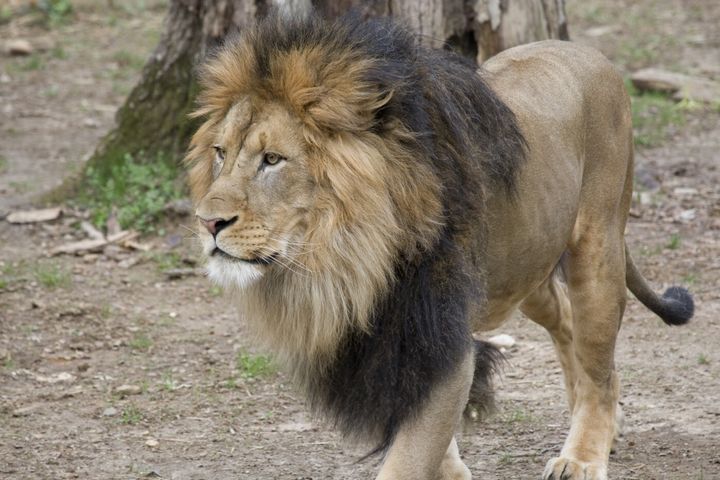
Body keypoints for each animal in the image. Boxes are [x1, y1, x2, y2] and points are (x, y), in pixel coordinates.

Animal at [184, 11, 692, 480]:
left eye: (272, 160)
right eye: (220, 154)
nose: (208, 222)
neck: (345, 259)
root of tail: (590, 54)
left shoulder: (438, 338)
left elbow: (408, 458)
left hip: (597, 250)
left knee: (598, 364)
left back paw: (584, 454)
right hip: (524, 270)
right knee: (567, 324)